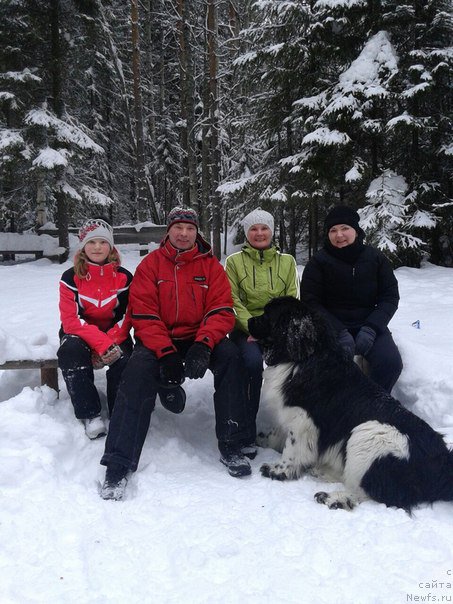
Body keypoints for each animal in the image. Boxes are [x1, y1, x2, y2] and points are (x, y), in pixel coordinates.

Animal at [247, 296, 452, 510]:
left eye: (267, 315)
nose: (249, 321)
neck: (303, 359)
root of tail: (444, 463)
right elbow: (277, 435)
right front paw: (261, 440)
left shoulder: (304, 420)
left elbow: (292, 447)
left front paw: (278, 470)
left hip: (369, 432)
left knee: (372, 493)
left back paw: (333, 497)